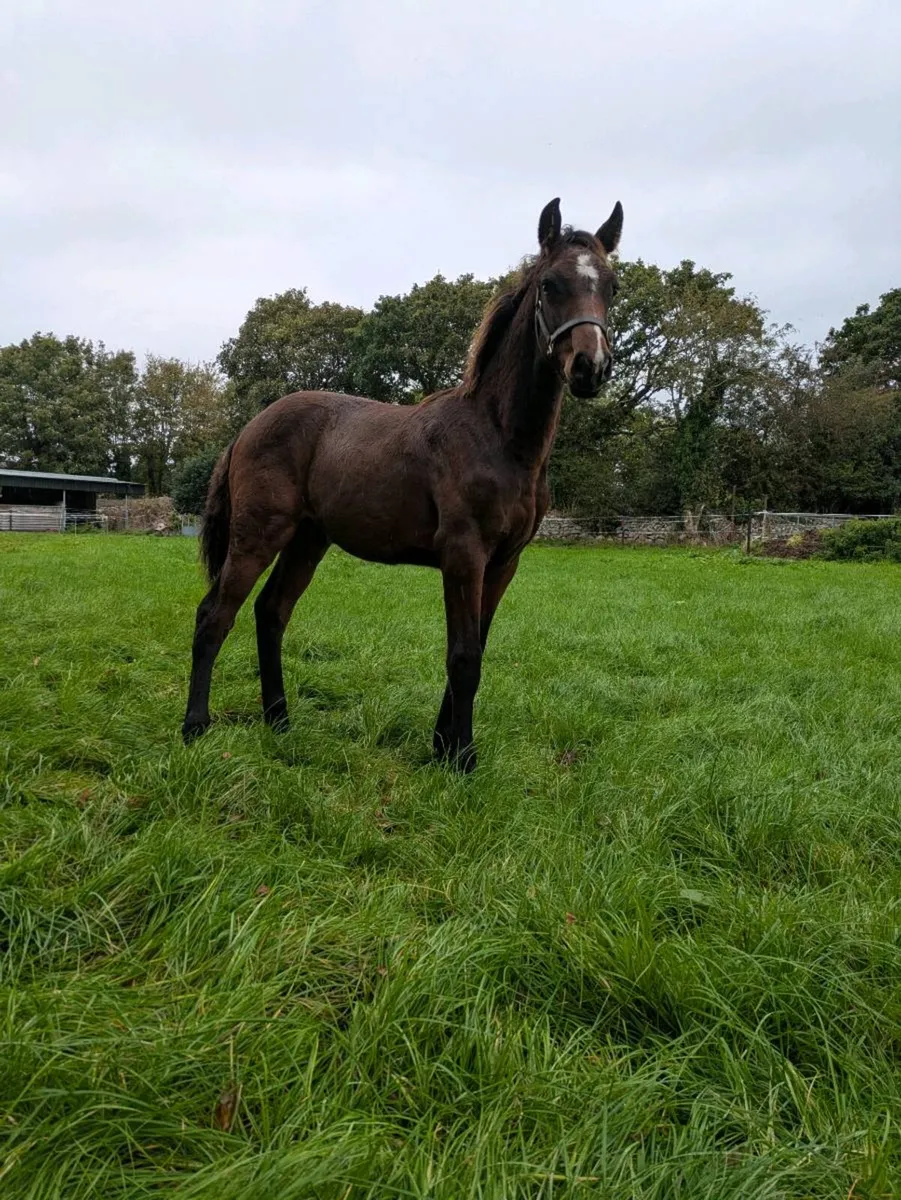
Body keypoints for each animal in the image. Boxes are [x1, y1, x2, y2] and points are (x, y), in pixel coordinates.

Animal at [182, 196, 623, 771]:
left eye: (612, 286)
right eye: (550, 284)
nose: (590, 367)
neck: (499, 437)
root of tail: (248, 428)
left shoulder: (504, 563)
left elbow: (476, 649)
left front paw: (442, 747)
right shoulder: (464, 556)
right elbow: (463, 656)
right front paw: (462, 760)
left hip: (308, 540)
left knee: (271, 612)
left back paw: (279, 721)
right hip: (258, 535)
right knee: (215, 615)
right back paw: (195, 727)